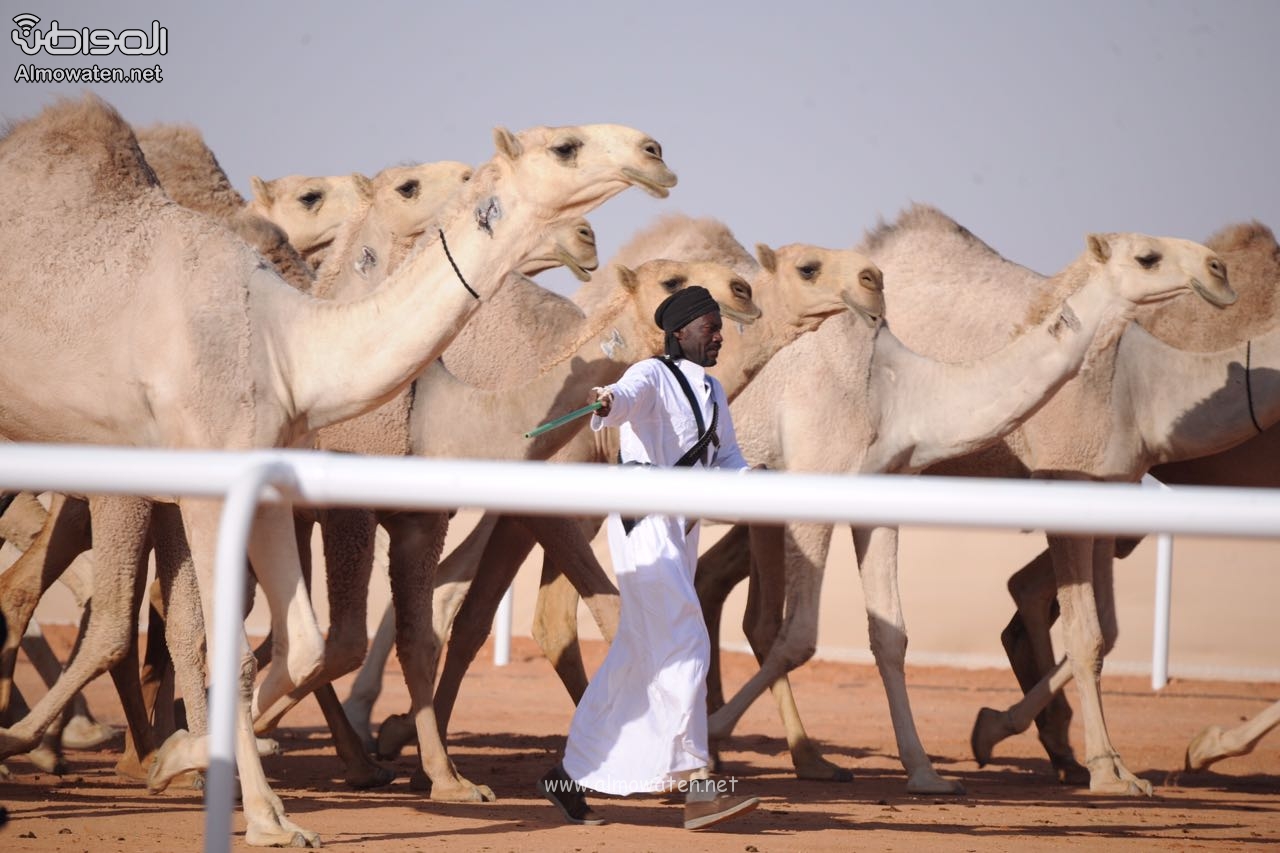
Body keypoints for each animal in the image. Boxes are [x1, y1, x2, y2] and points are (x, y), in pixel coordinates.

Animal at [0, 94, 680, 845]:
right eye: (564, 146)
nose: (654, 152)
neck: (287, 346)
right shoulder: (222, 482)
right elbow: (235, 644)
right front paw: (257, 809)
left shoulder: (273, 487)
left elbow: (306, 643)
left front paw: (196, 761)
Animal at [696, 211, 1233, 788]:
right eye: (1147, 257)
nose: (1218, 269)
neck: (900, 392)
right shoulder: (813, 481)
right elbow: (797, 636)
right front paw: (711, 733)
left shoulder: (876, 499)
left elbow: (889, 635)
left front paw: (925, 772)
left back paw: (803, 759)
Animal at [962, 217, 1280, 778]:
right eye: (1147, 258)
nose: (1217, 271)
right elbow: (1089, 630)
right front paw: (1140, 763)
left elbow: (1101, 630)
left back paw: (1051, 746)